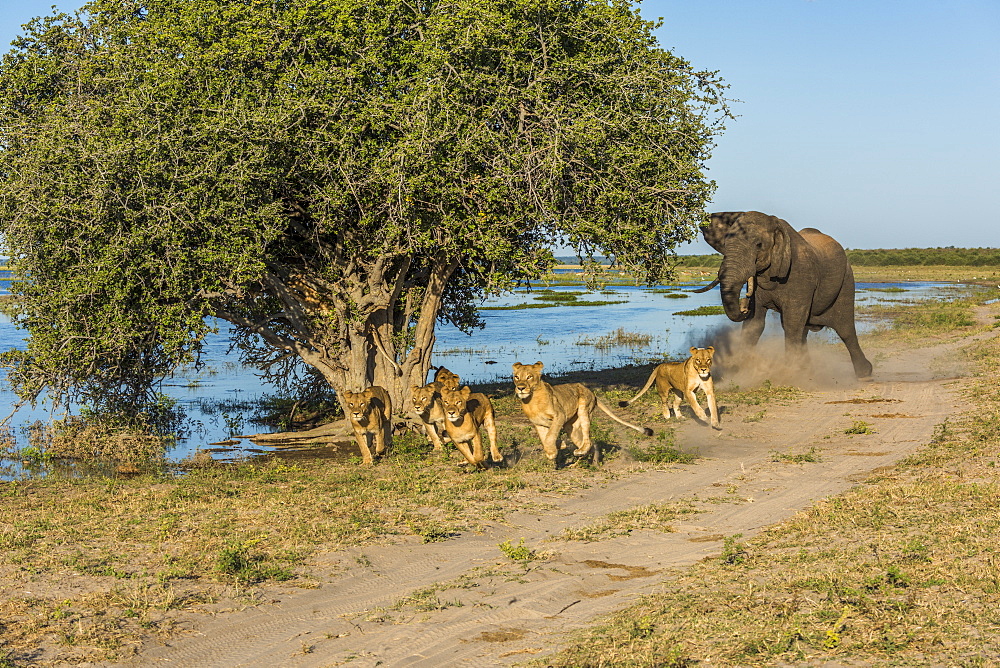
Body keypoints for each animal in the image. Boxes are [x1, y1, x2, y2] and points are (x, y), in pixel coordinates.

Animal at [512, 360, 652, 464]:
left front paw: (552, 451)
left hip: (584, 409)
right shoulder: (538, 423)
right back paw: (591, 460)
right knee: (591, 443)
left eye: (529, 377)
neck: (531, 401)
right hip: (571, 428)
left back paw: (581, 453)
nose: (520, 388)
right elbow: (545, 438)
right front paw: (557, 447)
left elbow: (550, 435)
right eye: (516, 377)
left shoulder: (559, 415)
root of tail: (592, 393)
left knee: (588, 439)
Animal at [692, 211, 872, 378]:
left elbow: (792, 322)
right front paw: (741, 371)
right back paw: (809, 371)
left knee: (845, 329)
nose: (744, 305)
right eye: (725, 244)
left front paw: (790, 374)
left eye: (758, 245)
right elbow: (755, 324)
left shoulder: (801, 273)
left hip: (846, 280)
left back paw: (864, 374)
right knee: (804, 330)